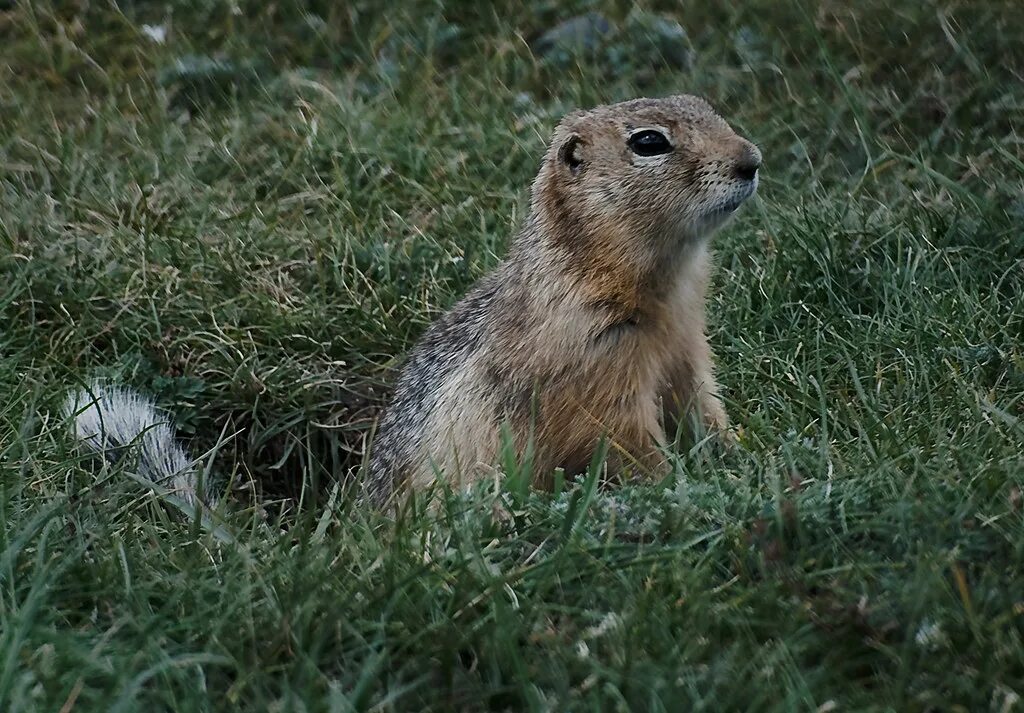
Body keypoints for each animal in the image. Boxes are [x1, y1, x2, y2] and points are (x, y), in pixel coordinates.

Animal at [66, 94, 761, 510]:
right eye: (648, 143)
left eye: (708, 106)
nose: (752, 160)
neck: (655, 283)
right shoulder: (595, 364)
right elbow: (622, 440)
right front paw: (683, 485)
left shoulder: (686, 345)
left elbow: (702, 407)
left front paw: (740, 456)